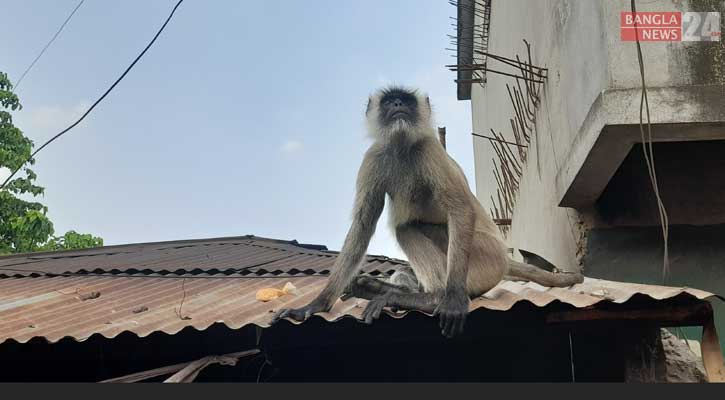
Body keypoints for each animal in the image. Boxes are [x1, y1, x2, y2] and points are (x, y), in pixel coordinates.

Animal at [272, 85, 584, 338]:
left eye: (406, 101)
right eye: (390, 101)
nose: (399, 104)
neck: (401, 146)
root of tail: (503, 259)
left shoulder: (430, 148)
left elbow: (460, 209)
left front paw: (452, 300)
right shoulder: (374, 157)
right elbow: (362, 224)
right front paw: (316, 305)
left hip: (483, 257)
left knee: (408, 228)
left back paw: (433, 297)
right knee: (406, 227)